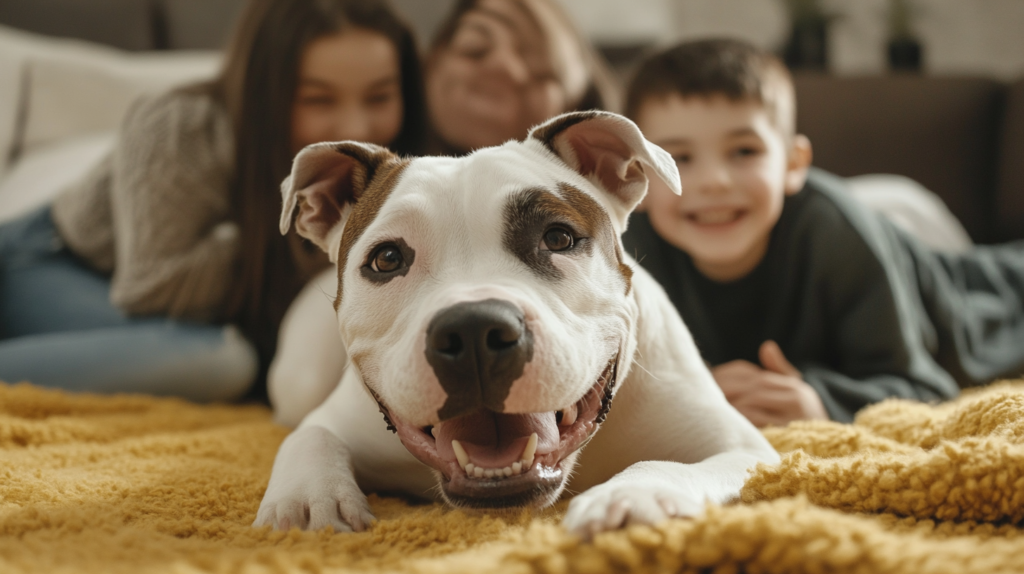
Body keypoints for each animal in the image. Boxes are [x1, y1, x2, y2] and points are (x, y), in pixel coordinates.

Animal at [256, 112, 774, 536]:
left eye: (558, 238)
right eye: (386, 259)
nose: (473, 330)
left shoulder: (741, 448)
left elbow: (668, 463)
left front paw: (632, 496)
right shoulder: (335, 420)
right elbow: (308, 437)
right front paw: (308, 502)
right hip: (299, 380)